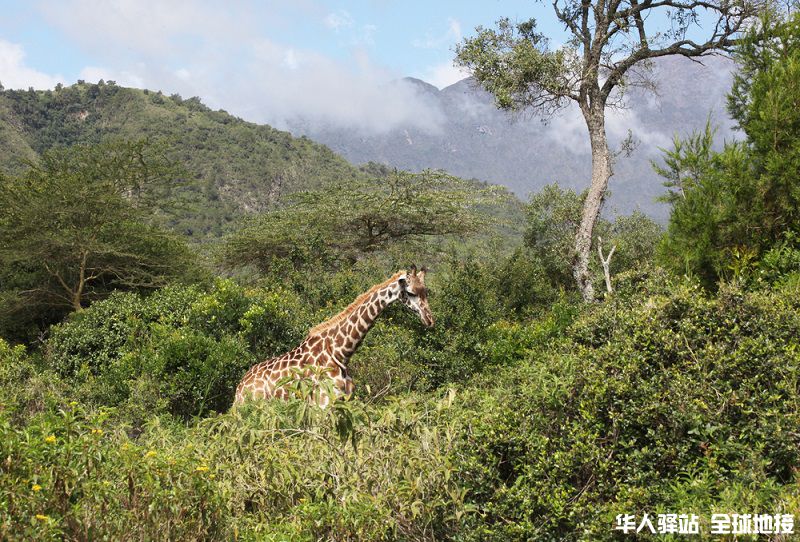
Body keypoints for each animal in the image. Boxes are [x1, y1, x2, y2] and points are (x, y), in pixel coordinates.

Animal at [234, 268, 434, 408]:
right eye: (410, 292)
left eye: (426, 291)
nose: (430, 320)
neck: (340, 352)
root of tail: (239, 388)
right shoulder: (322, 404)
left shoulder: (342, 401)